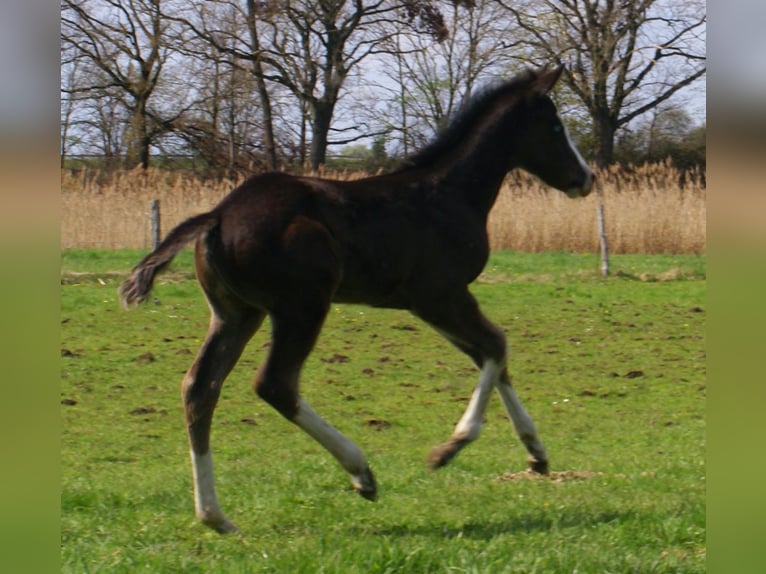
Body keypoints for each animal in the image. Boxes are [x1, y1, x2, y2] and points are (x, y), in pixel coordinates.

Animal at [119, 66, 594, 534]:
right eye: (554, 127)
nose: (586, 179)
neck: (449, 194)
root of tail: (216, 216)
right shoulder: (440, 295)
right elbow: (497, 346)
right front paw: (451, 447)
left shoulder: (429, 303)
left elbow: (490, 356)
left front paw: (536, 453)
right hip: (302, 307)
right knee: (274, 384)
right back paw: (361, 472)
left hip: (236, 314)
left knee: (200, 388)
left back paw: (215, 516)